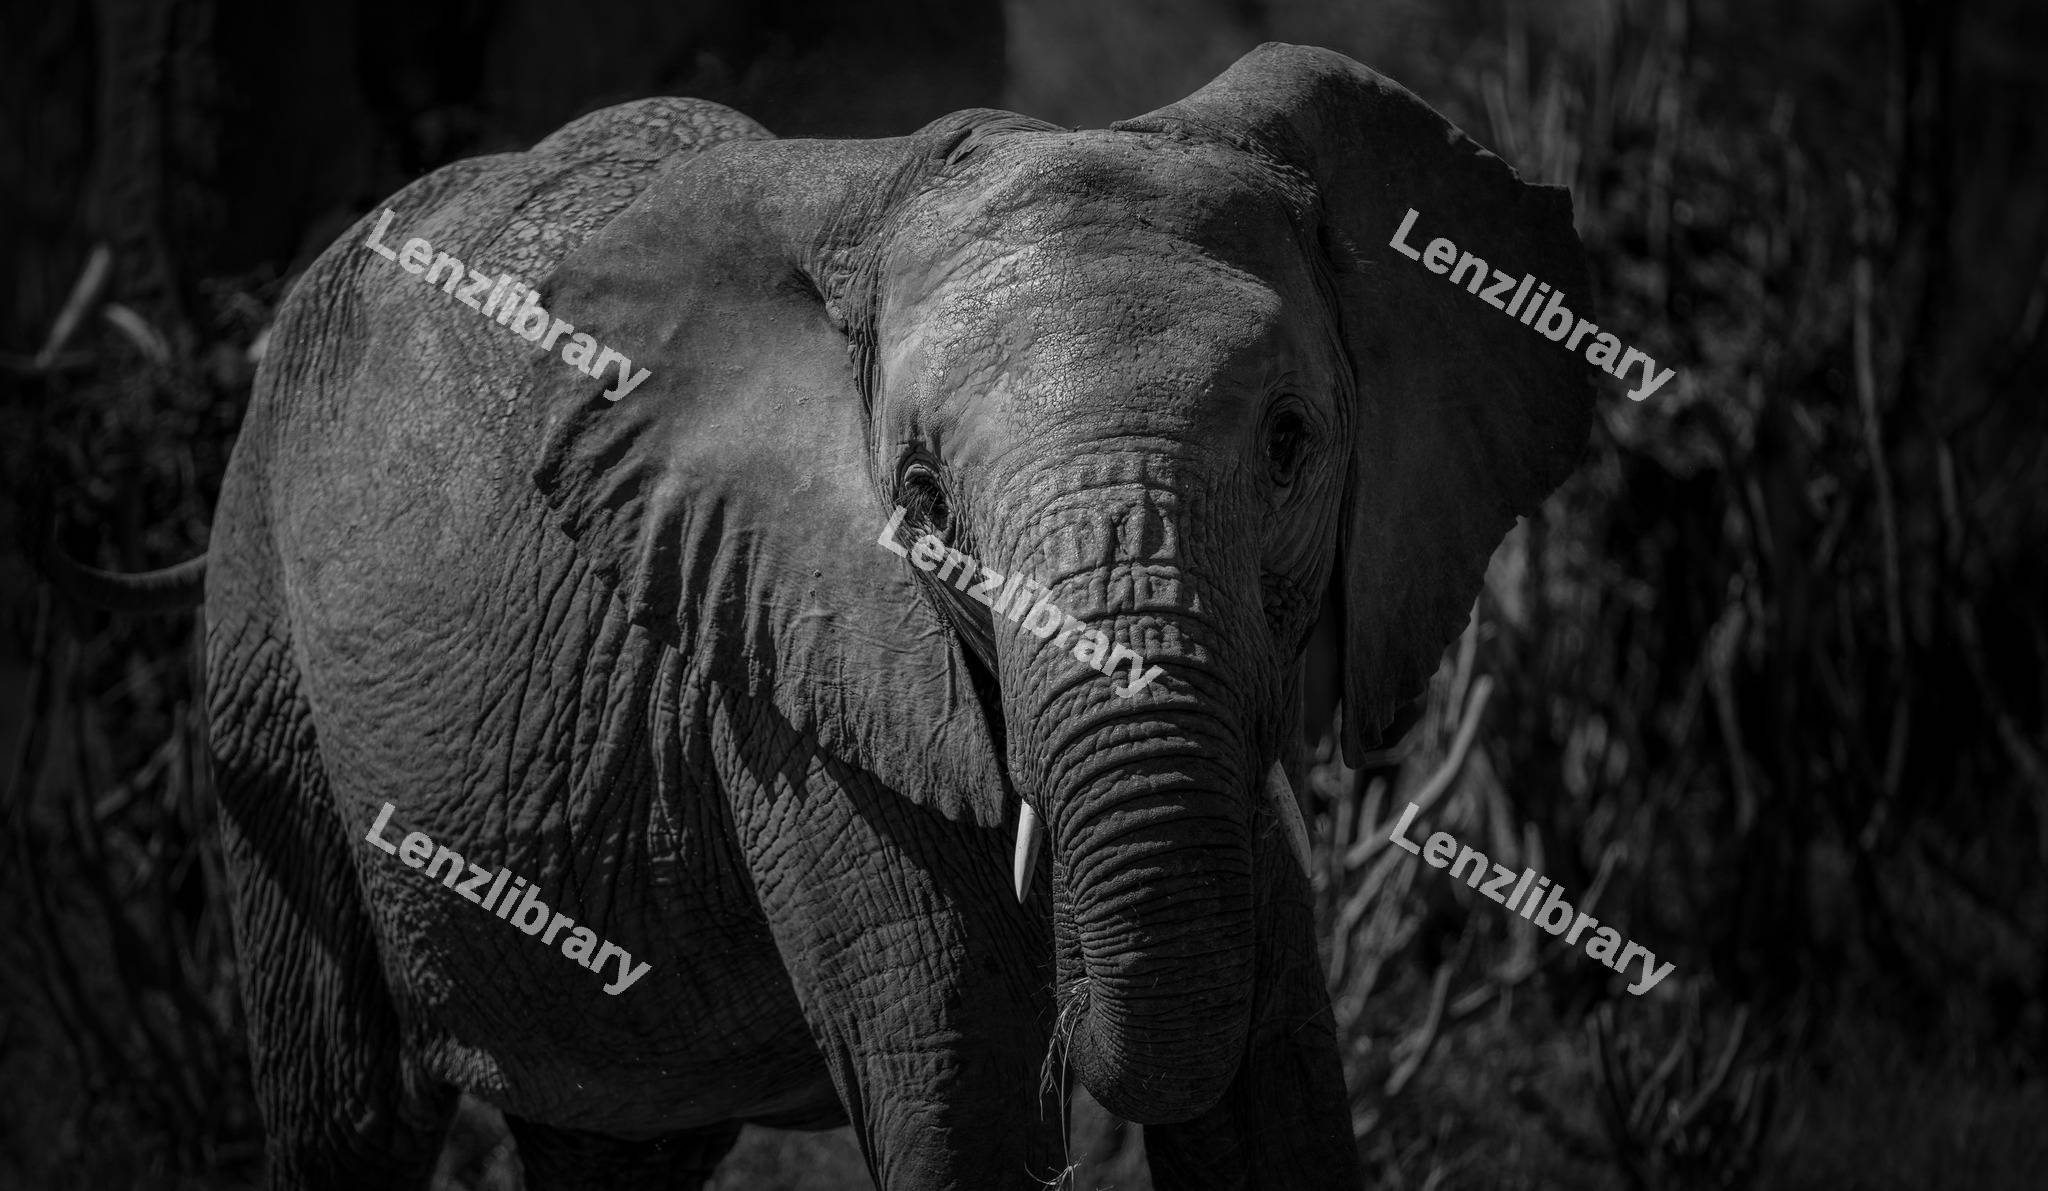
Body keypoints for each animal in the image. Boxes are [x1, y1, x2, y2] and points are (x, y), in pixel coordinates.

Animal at [45, 41, 1592, 1191]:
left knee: (617, 1143)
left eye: (1287, 444)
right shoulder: (789, 687)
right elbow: (952, 1092)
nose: (1077, 1055)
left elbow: (1278, 1087)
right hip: (260, 650)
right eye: (919, 495)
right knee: (346, 1114)